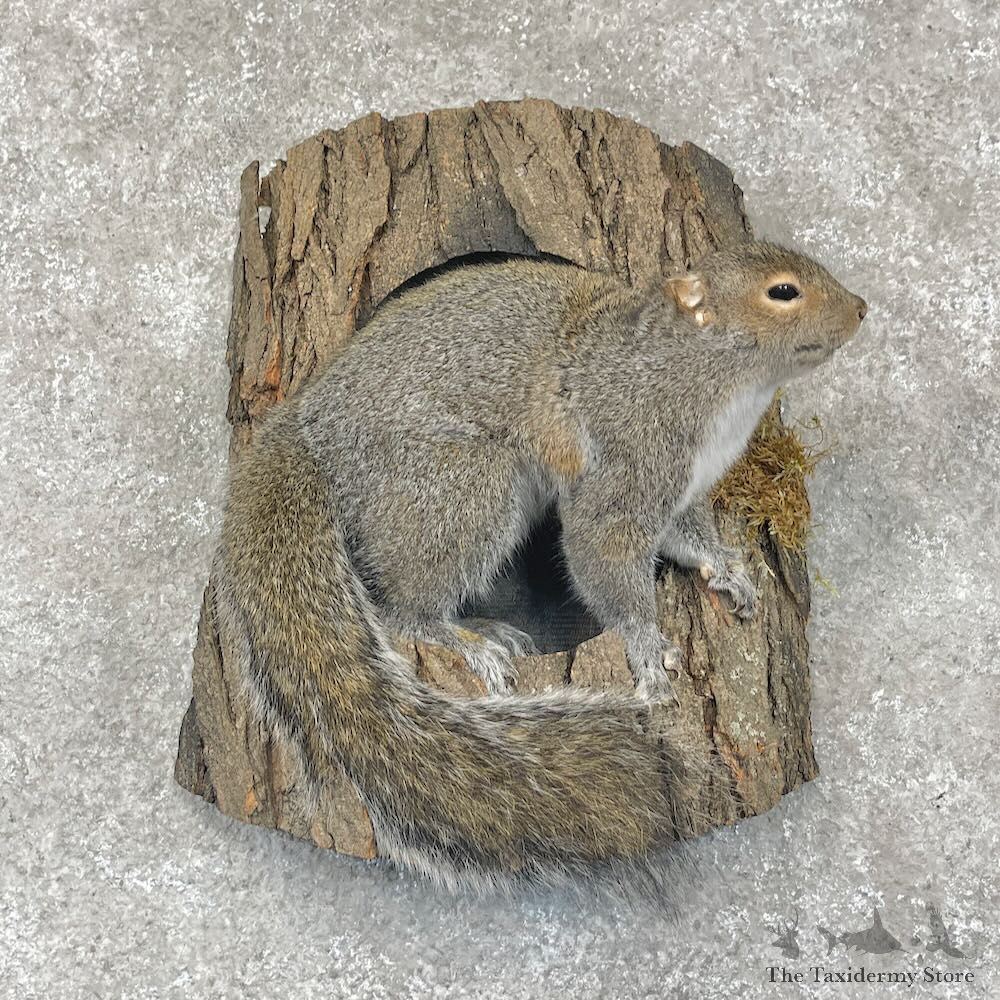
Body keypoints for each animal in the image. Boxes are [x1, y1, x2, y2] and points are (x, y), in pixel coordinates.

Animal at [213, 240, 867, 896]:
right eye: (782, 292)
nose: (861, 308)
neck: (698, 376)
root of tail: (312, 431)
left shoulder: (682, 489)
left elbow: (688, 538)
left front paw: (726, 570)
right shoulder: (626, 459)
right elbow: (599, 550)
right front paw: (646, 645)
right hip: (467, 488)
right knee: (401, 608)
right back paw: (464, 638)